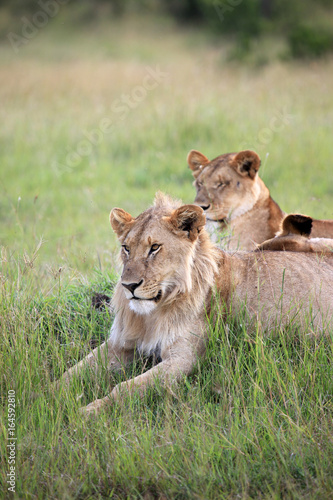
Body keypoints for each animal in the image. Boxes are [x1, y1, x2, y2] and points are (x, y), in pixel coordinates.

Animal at [59, 192, 332, 414]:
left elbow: (126, 388)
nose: (129, 286)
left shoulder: (184, 358)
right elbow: (72, 373)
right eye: (126, 248)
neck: (152, 314)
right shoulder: (121, 344)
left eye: (154, 247)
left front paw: (86, 412)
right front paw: (50, 396)